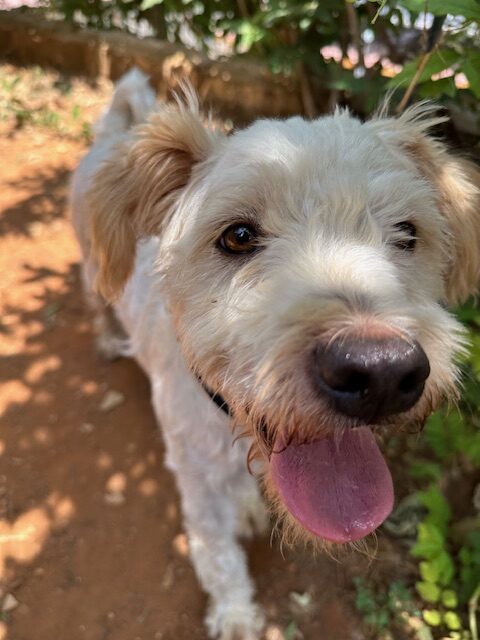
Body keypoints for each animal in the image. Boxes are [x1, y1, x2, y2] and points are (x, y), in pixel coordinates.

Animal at [70, 68, 480, 639]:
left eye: (407, 233)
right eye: (238, 235)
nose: (380, 373)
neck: (225, 419)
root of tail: (114, 135)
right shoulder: (196, 481)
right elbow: (217, 556)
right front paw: (236, 615)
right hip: (92, 266)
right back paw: (109, 338)